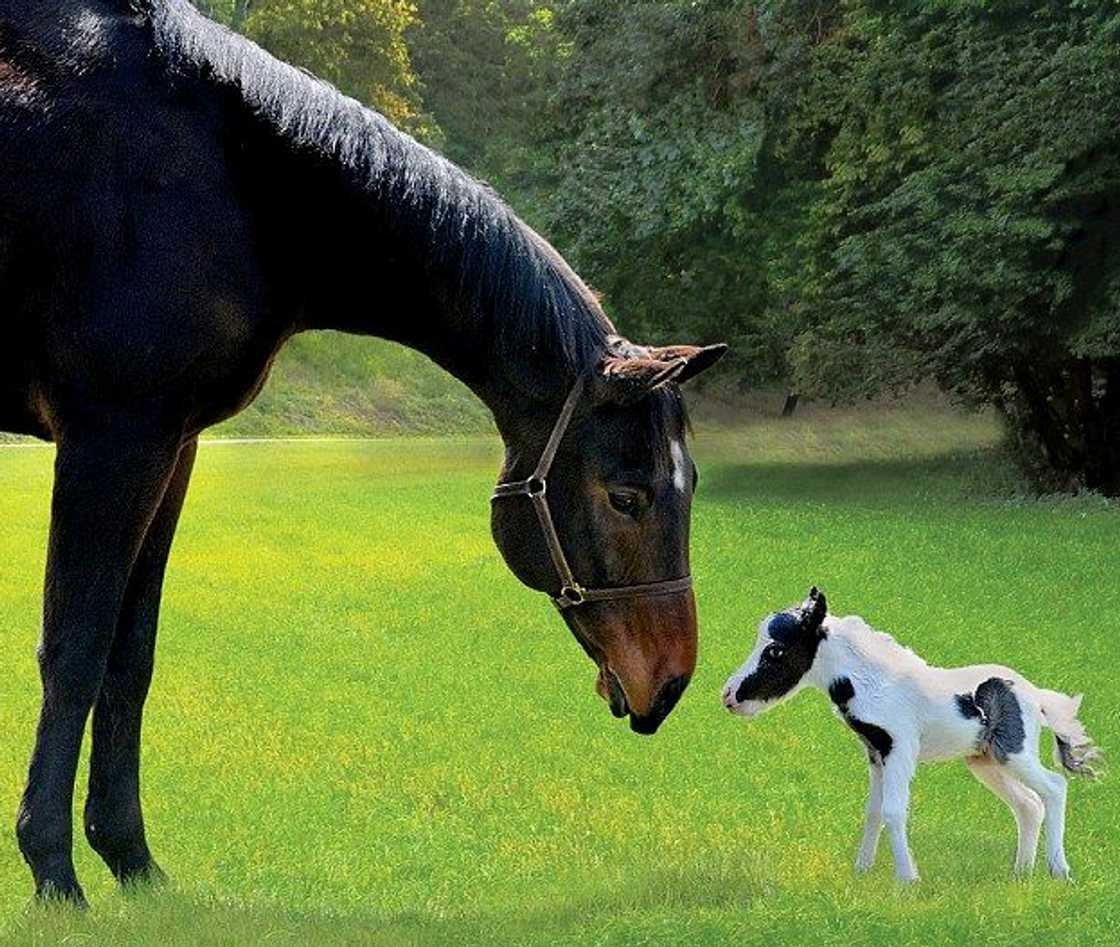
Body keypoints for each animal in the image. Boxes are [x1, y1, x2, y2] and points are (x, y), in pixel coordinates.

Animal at [0, 0, 726, 904]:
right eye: (626, 496)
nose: (671, 679)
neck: (223, 174)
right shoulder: (111, 440)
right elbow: (75, 649)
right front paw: (54, 871)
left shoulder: (171, 447)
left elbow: (129, 659)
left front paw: (131, 858)